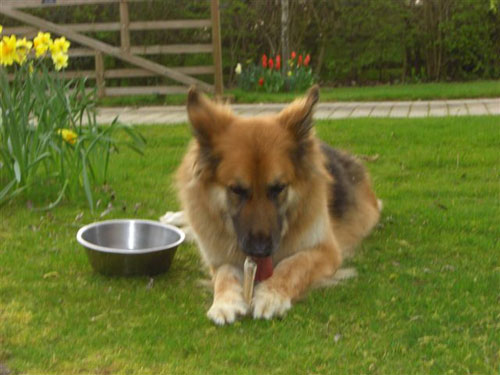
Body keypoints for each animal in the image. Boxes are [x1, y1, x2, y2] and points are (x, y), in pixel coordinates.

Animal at [170, 86, 380, 326]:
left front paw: (270, 294)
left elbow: (294, 264)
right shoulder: (218, 257)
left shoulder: (326, 251)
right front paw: (225, 301)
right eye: (237, 190)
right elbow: (225, 273)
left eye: (278, 188)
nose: (260, 250)